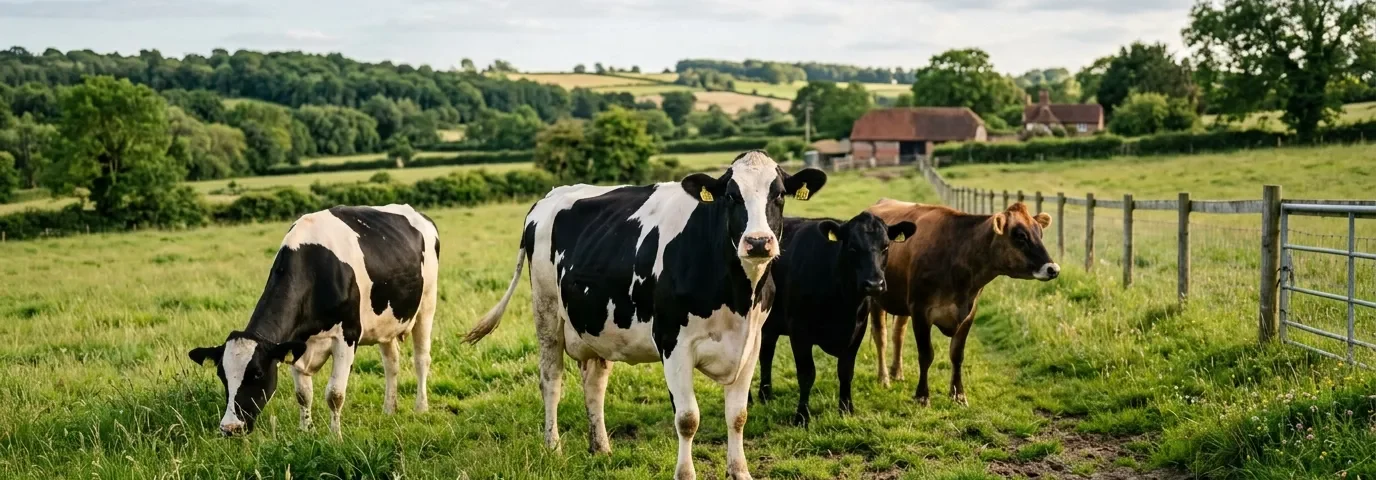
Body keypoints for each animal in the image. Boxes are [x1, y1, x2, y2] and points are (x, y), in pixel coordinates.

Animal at [188, 204, 440, 436]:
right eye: (221, 374)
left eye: (257, 373)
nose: (230, 427)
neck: (314, 267)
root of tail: (417, 213)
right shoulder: (295, 342)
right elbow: (302, 394)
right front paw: (306, 430)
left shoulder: (347, 336)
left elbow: (335, 393)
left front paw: (335, 437)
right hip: (386, 322)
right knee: (391, 363)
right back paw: (389, 409)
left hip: (427, 304)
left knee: (421, 358)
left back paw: (421, 407)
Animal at [462, 150, 827, 480]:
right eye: (731, 196)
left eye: (778, 194)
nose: (758, 242)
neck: (736, 296)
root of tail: (549, 197)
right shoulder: (673, 343)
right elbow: (687, 419)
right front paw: (685, 474)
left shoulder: (750, 343)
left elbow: (737, 415)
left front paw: (740, 472)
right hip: (547, 311)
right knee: (551, 380)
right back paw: (553, 448)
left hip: (597, 323)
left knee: (594, 383)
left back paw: (601, 448)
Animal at [756, 212, 916, 426]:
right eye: (852, 247)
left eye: (886, 246)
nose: (874, 284)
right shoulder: (799, 331)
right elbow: (806, 374)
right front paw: (802, 417)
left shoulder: (857, 331)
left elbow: (846, 372)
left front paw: (846, 410)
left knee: (766, 353)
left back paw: (765, 395)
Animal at [865, 200, 1058, 407]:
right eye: (1020, 236)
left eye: (1040, 233)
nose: (1053, 269)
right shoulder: (920, 310)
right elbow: (926, 355)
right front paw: (922, 396)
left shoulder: (968, 313)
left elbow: (957, 355)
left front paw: (958, 395)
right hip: (876, 297)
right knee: (881, 336)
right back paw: (884, 378)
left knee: (898, 334)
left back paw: (897, 373)